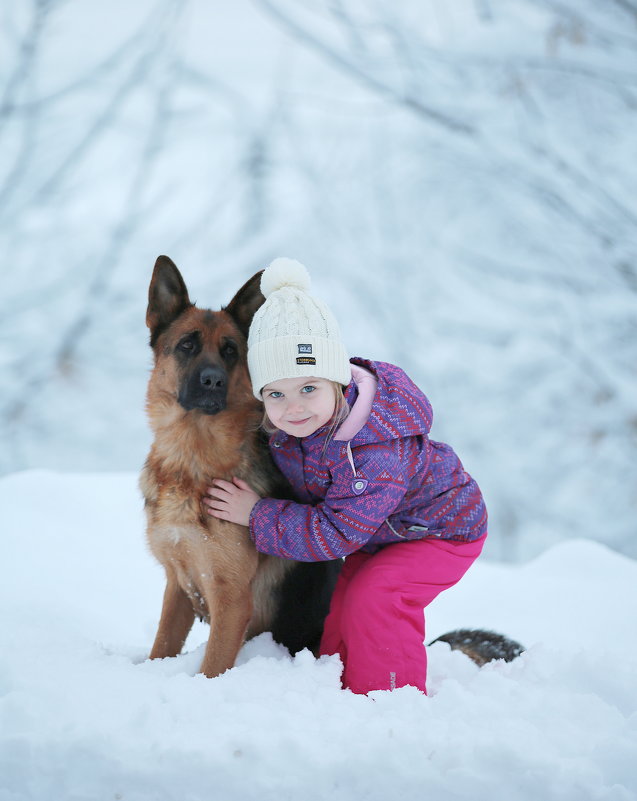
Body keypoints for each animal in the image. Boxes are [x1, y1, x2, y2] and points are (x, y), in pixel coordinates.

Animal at [137, 256, 340, 676]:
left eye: (230, 351)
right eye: (187, 345)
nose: (213, 381)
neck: (192, 458)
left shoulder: (231, 601)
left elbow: (212, 666)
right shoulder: (178, 587)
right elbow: (161, 646)